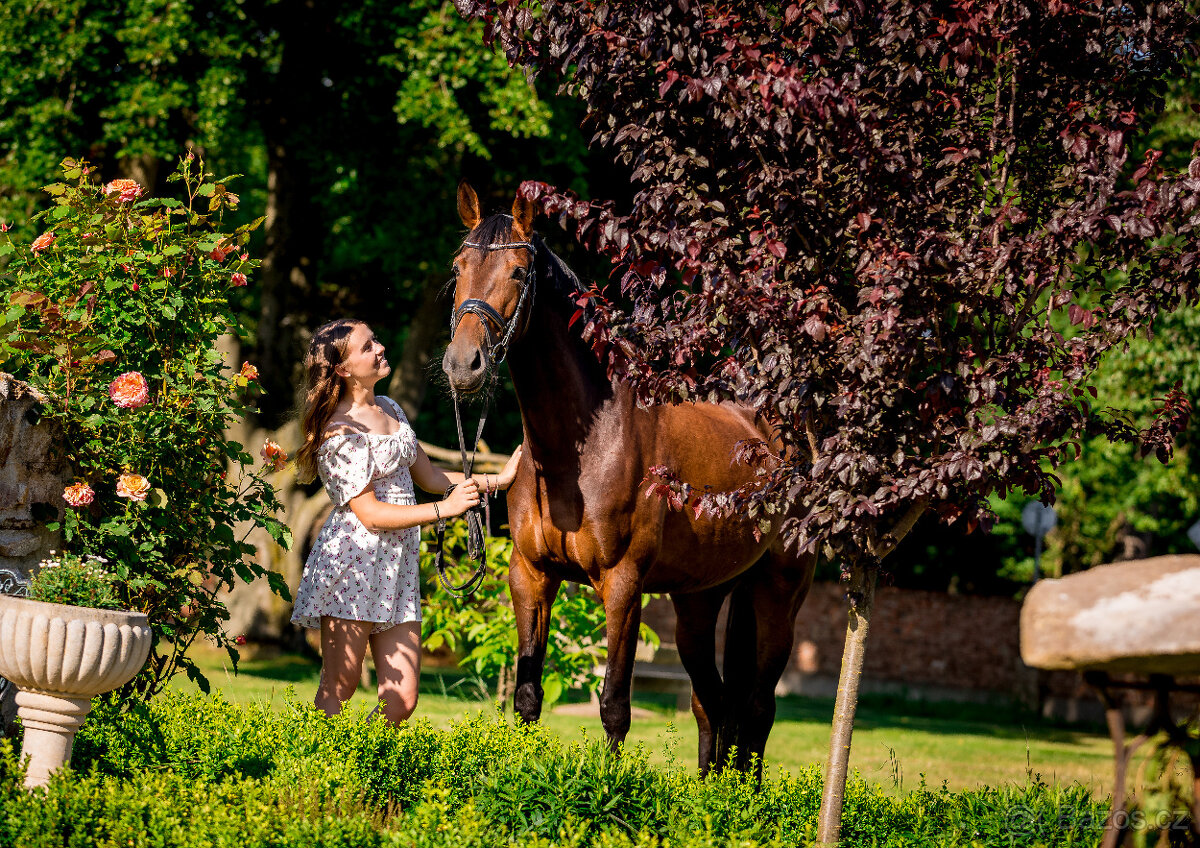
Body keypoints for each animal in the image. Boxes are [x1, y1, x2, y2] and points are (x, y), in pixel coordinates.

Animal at [446, 185, 820, 777]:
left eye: (518, 271)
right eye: (459, 267)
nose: (464, 365)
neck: (583, 450)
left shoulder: (623, 586)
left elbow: (614, 708)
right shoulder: (530, 577)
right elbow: (527, 697)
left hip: (779, 594)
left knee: (759, 707)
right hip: (699, 603)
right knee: (712, 703)